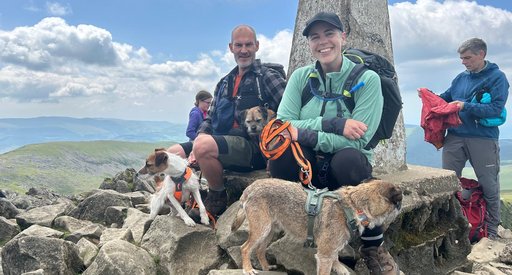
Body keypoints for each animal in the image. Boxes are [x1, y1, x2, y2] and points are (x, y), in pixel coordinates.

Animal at [232, 178, 404, 274]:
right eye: (400, 201)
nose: (401, 207)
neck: (354, 205)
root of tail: (250, 188)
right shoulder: (324, 255)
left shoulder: (330, 249)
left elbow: (336, 257)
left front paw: (339, 268)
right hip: (261, 229)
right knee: (245, 248)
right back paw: (248, 269)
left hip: (270, 231)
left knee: (260, 250)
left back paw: (266, 268)